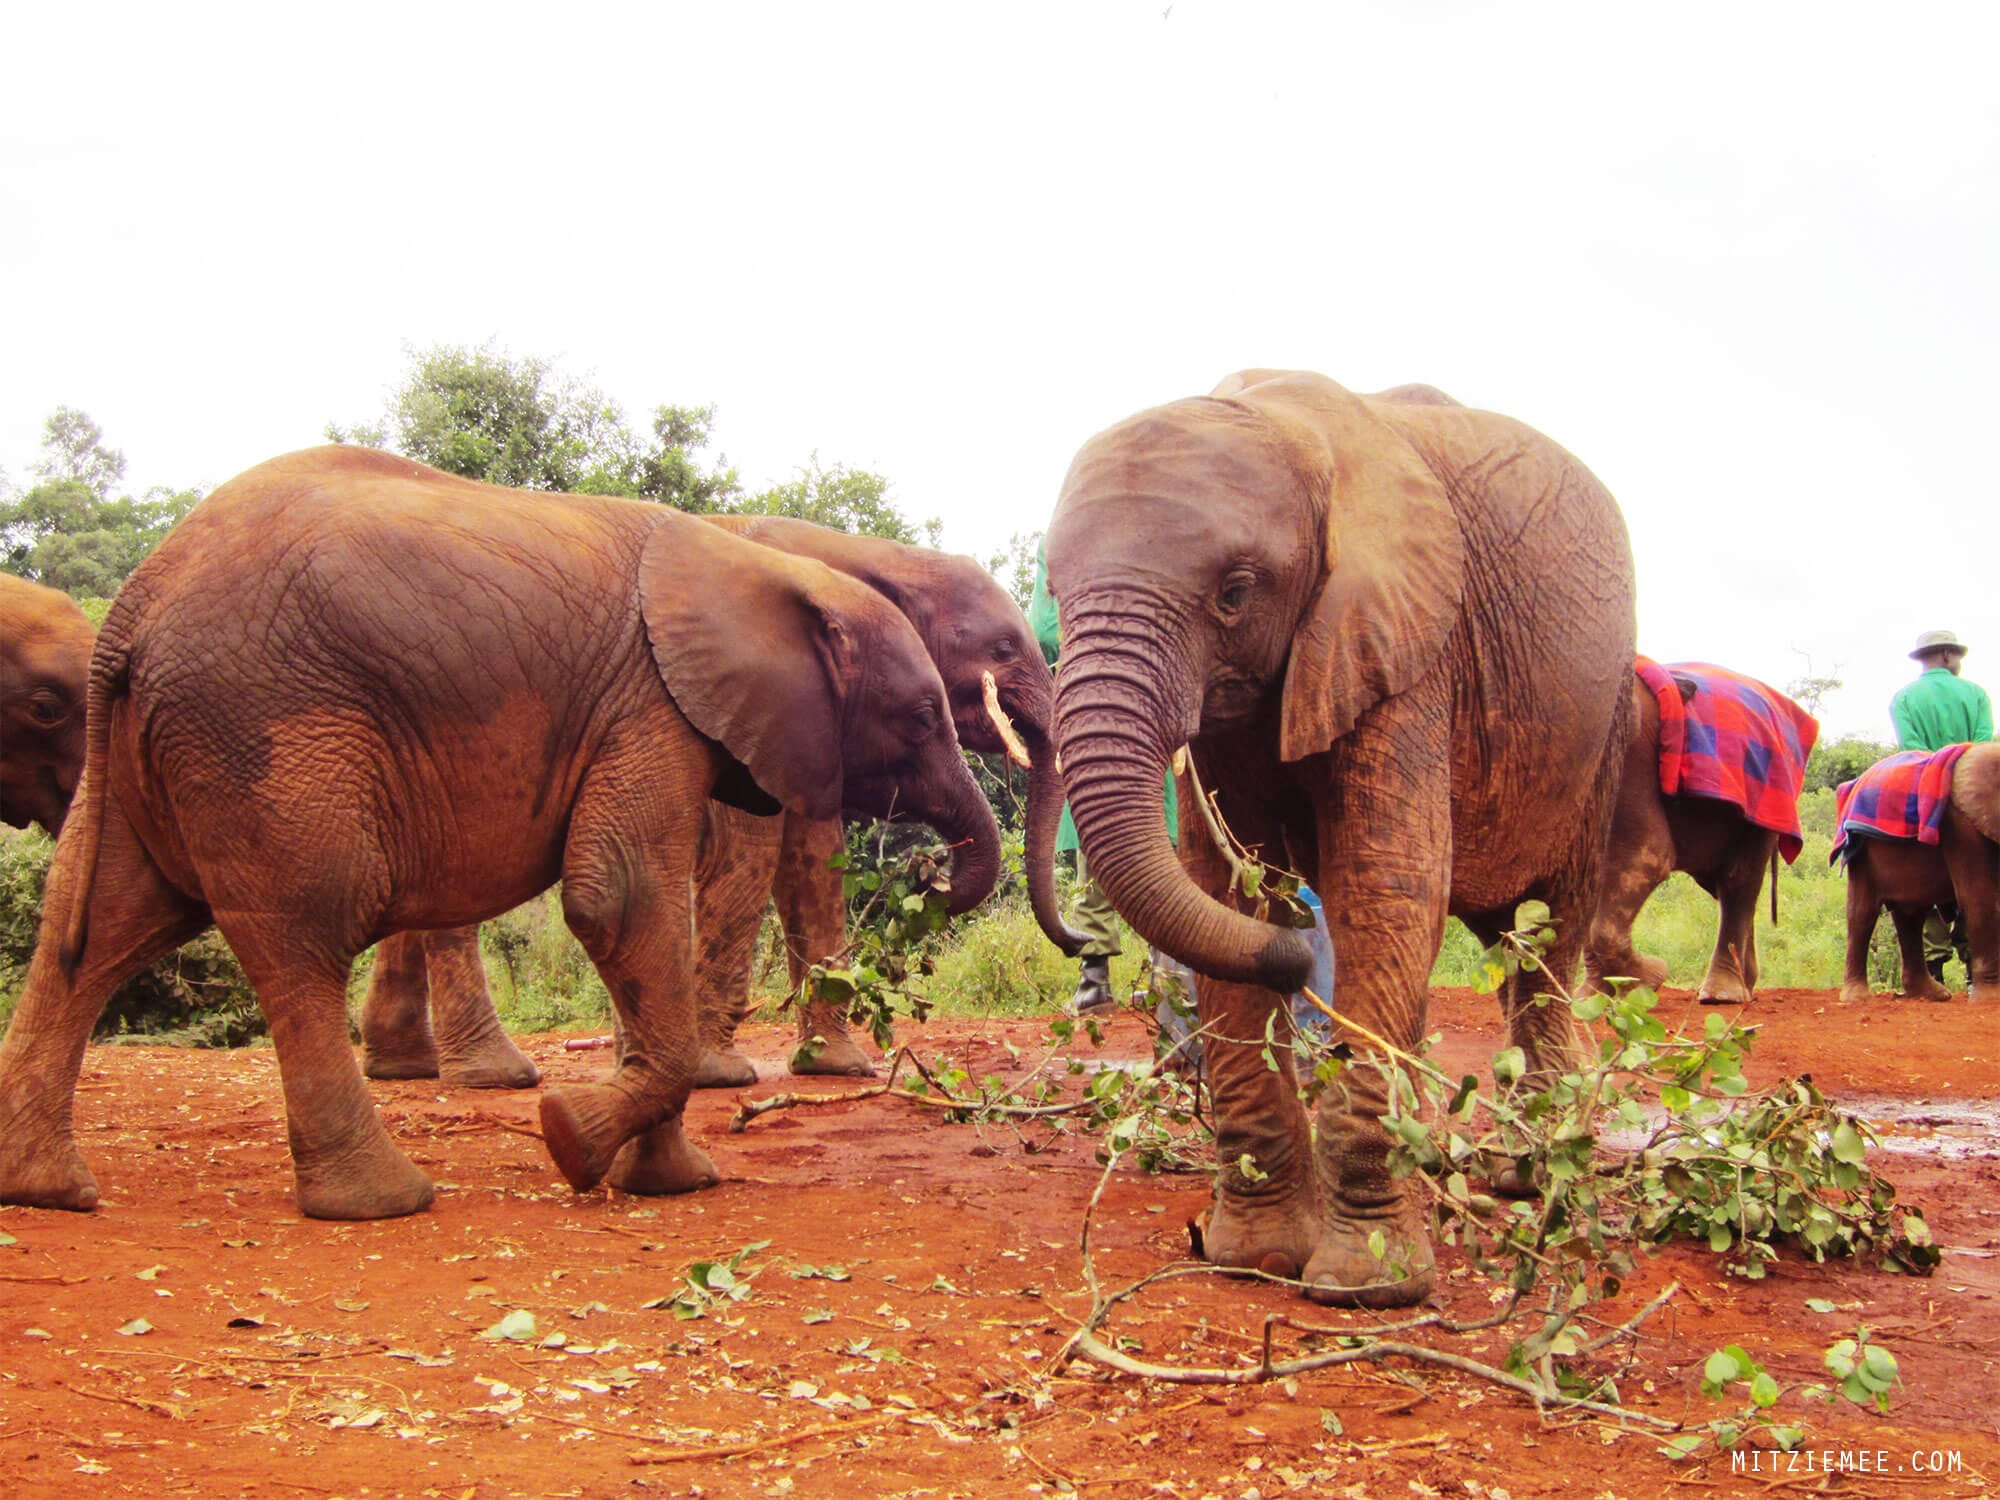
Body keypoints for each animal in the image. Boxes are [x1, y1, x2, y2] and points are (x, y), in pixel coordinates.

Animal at [356, 517, 1081, 1089]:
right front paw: (719, 1073)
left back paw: (404, 1067)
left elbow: (810, 860)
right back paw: (494, 1074)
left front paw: (835, 1066)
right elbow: (752, 852)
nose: (928, 879)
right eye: (1002, 649)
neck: (875, 554)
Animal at [1043, 369, 1636, 1308]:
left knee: (1548, 937)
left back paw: (1528, 1174)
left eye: (1236, 591)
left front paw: (1368, 1288)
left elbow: (1381, 883)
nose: (1294, 960)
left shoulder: (1410, 645)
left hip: (1603, 721)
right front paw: (1253, 1259)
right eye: (1054, 593)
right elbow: (1226, 888)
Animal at [1585, 661, 1819, 1005]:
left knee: (1739, 879)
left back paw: (1722, 995)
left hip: (1762, 801)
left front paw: (1648, 981)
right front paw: (1589, 998)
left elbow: (1646, 856)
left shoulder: (1633, 758)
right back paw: (1744, 984)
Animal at [1837, 741, 2000, 1005]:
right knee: (1862, 912)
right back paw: (1856, 997)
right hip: (1861, 852)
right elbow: (1980, 898)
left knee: (1910, 914)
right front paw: (1990, 1001)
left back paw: (1931, 993)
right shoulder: (1960, 825)